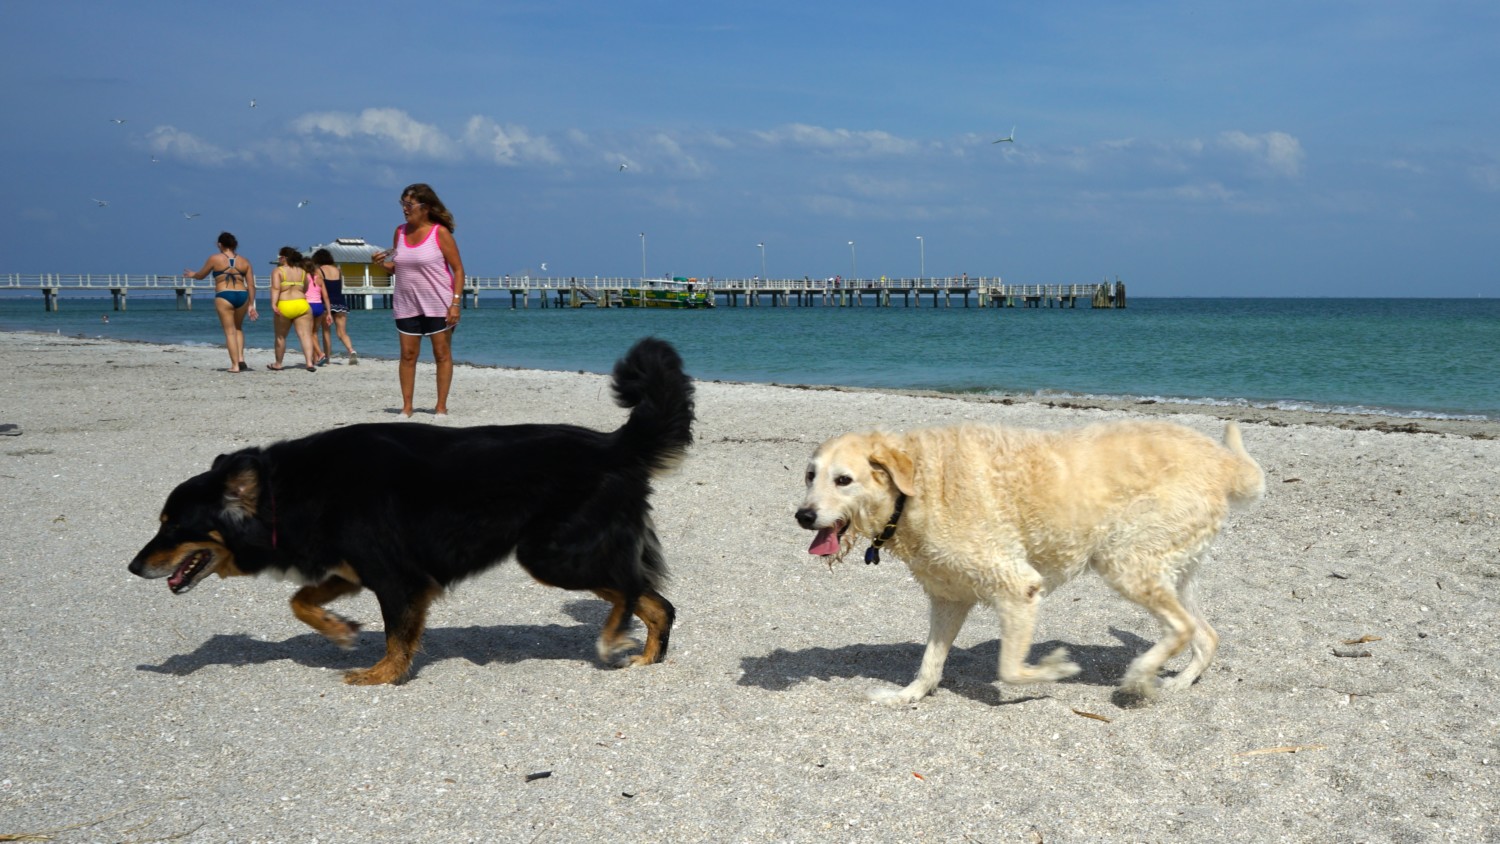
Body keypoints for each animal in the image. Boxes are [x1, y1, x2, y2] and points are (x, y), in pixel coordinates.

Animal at [129, 334, 690, 683]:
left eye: (173, 526)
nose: (133, 567)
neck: (288, 491)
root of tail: (612, 444)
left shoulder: (398, 577)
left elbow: (396, 635)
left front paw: (381, 675)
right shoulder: (352, 567)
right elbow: (301, 600)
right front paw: (340, 630)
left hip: (552, 555)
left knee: (632, 589)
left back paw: (614, 639)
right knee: (657, 601)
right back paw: (646, 657)